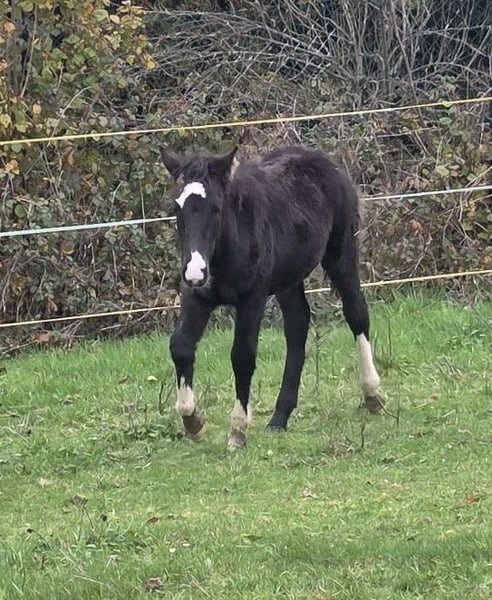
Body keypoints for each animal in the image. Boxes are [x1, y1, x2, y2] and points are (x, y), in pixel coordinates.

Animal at [161, 145, 382, 448]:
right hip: (288, 279)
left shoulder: (252, 298)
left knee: (357, 313)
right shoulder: (198, 296)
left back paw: (372, 394)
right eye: (177, 208)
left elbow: (242, 355)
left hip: (341, 253)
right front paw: (192, 420)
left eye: (216, 208)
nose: (195, 271)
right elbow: (180, 345)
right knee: (298, 326)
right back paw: (280, 417)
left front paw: (238, 430)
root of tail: (326, 162)